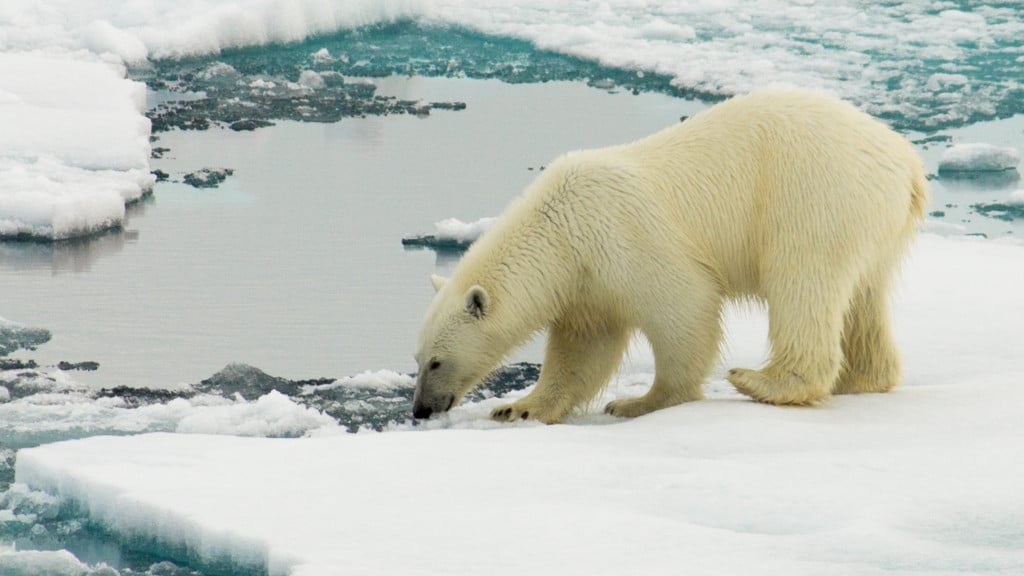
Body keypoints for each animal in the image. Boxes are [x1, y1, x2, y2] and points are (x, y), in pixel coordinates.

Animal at [409, 89, 929, 422]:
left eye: (435, 362)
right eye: (416, 359)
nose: (420, 409)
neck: (559, 229)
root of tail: (907, 163)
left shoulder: (621, 237)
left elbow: (684, 305)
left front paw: (638, 402)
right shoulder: (586, 281)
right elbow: (583, 347)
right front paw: (518, 407)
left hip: (814, 193)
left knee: (802, 281)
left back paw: (762, 381)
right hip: (872, 224)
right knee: (862, 297)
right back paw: (861, 377)